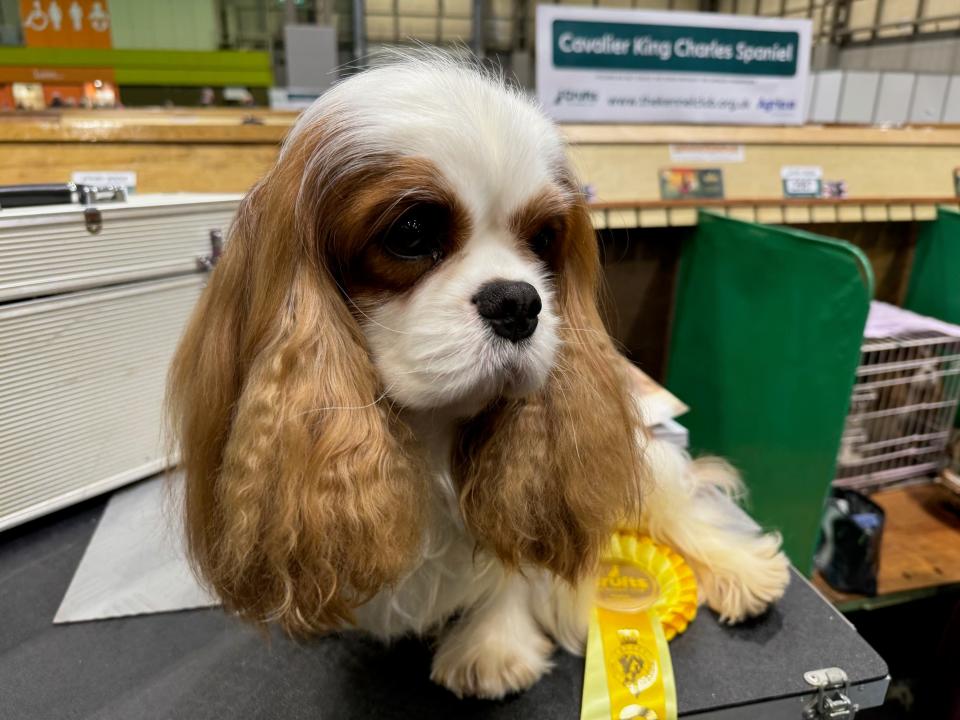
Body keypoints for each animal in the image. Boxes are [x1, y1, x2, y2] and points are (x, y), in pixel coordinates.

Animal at [171, 54, 788, 696]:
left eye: (543, 238)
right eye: (411, 232)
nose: (518, 303)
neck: (427, 431)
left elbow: (512, 561)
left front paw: (494, 643)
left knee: (682, 502)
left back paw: (741, 569)